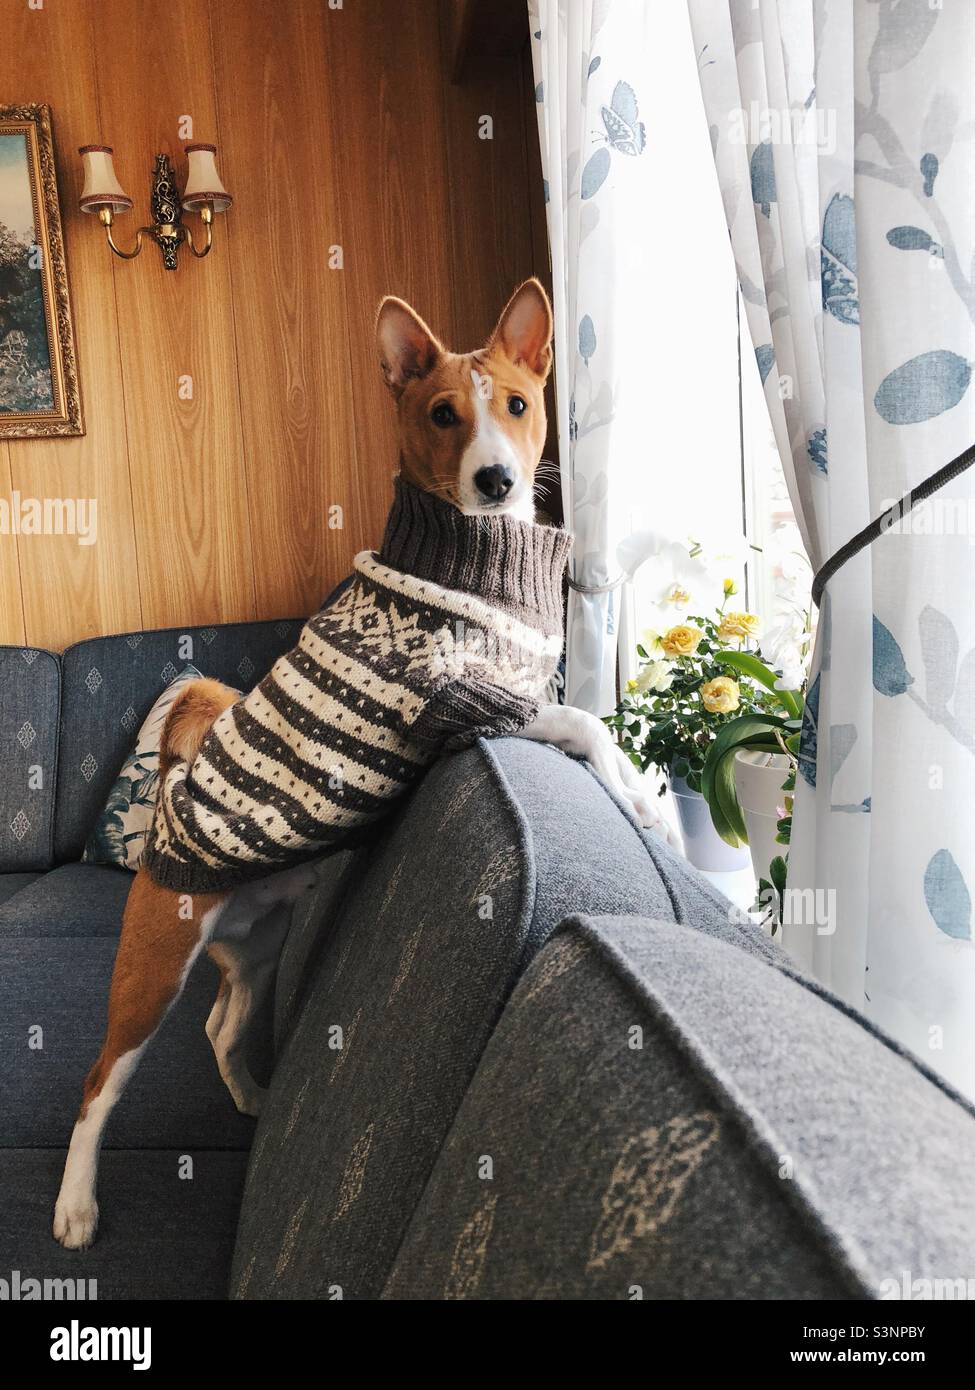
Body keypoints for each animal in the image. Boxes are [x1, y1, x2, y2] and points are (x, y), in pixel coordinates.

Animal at [51, 279, 670, 1251]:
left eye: (517, 406)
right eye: (442, 414)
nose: (495, 480)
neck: (471, 555)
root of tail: (165, 823)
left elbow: (588, 715)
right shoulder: (458, 703)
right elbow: (582, 722)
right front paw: (640, 802)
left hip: (259, 946)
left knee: (222, 1026)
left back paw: (252, 1094)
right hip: (150, 975)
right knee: (95, 1088)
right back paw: (75, 1205)